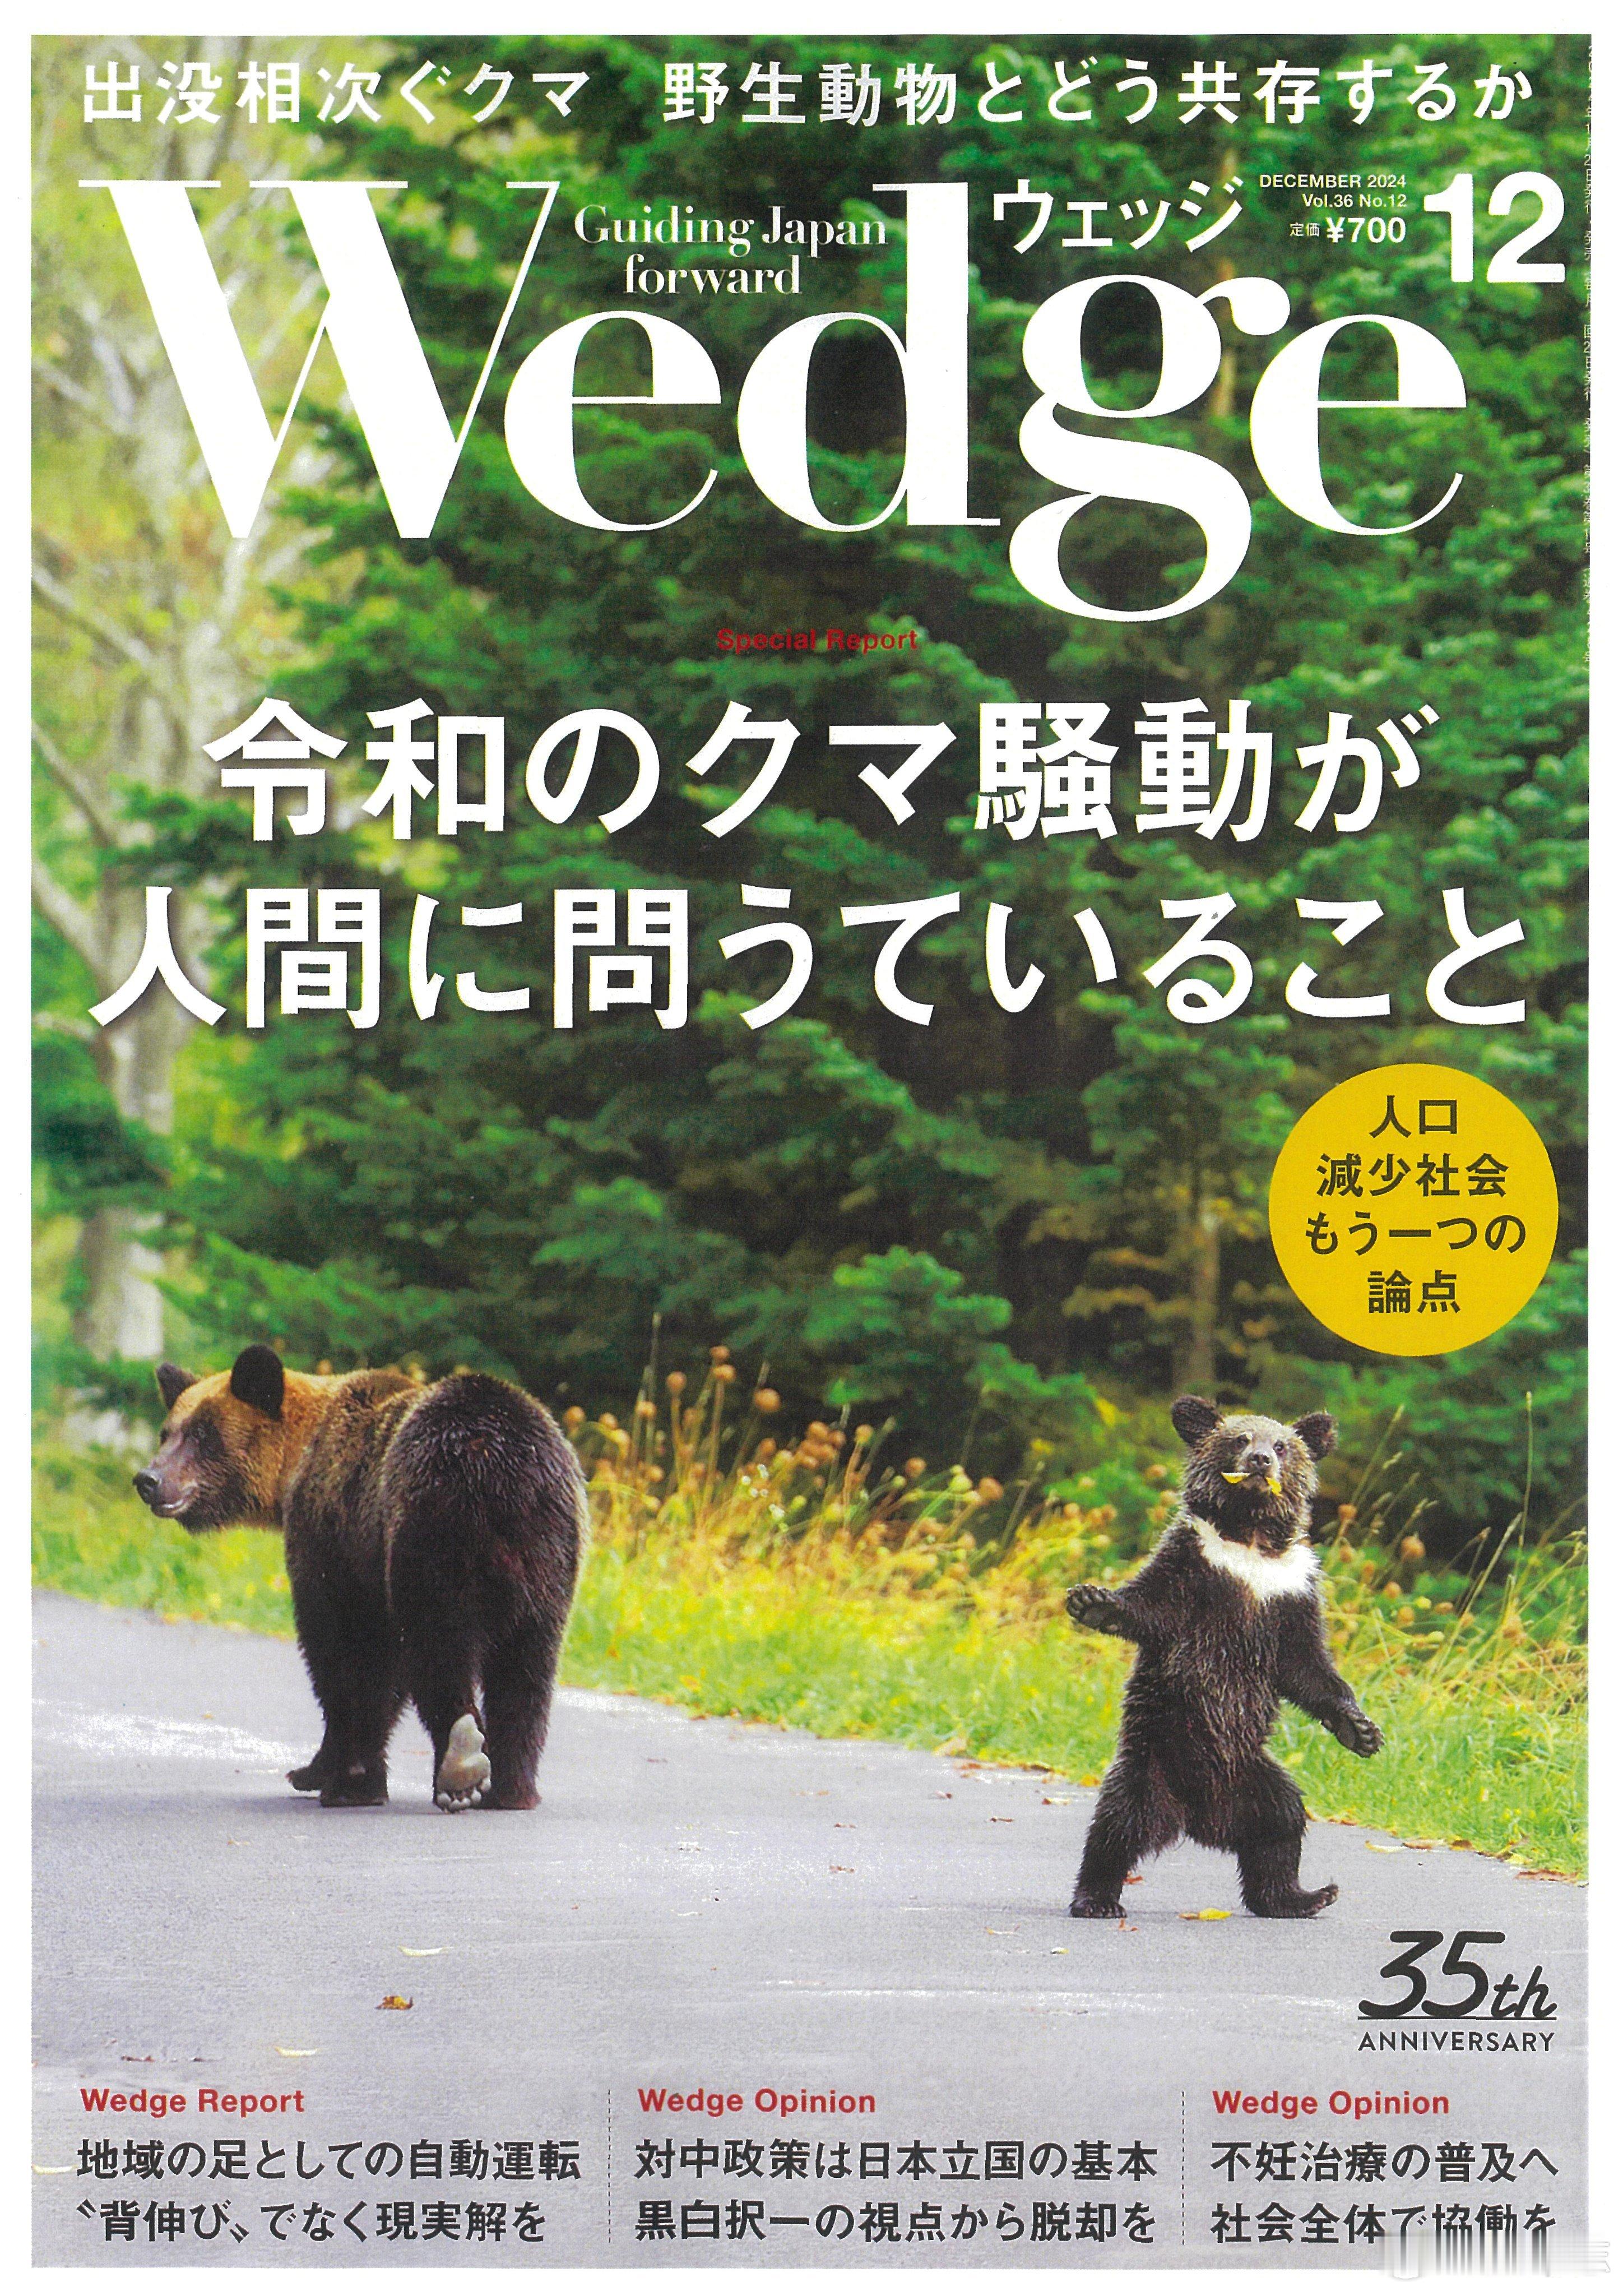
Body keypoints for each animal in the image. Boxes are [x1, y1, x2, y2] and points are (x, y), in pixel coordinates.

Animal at [133, 1345, 586, 1813]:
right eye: (168, 1433)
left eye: (205, 1435)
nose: (149, 1480)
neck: (297, 1461)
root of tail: (501, 1466)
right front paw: (318, 1770)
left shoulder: (335, 1543)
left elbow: (346, 1656)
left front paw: (345, 1779)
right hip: (548, 1560)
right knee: (527, 1670)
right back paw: (511, 1788)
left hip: (433, 1531)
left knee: (439, 1645)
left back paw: (461, 1768)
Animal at [1064, 1395, 1382, 1919]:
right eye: (1239, 1438)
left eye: (1281, 1444)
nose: (1261, 1461)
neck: (1249, 1541)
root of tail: (1200, 1818)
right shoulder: (1196, 1565)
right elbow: (1150, 1605)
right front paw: (1093, 1601)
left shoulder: (1290, 1592)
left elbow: (1308, 1667)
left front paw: (1362, 1731)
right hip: (1151, 1761)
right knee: (1117, 1826)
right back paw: (1097, 1899)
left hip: (1255, 1775)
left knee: (1282, 1827)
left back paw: (1303, 1895)